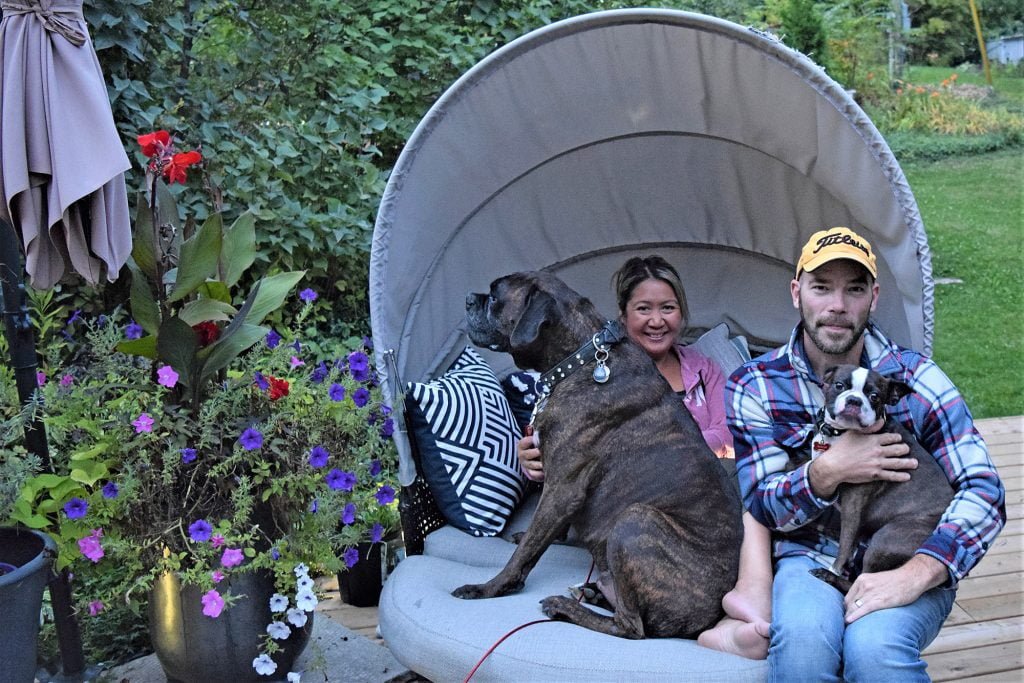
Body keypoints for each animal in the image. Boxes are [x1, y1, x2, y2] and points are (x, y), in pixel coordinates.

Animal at [452, 270, 741, 638]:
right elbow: (541, 534)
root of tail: (711, 615)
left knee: (631, 627)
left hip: (635, 520)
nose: (467, 299)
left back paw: (567, 607)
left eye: (494, 297)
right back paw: (592, 591)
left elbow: (525, 553)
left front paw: (488, 588)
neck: (583, 357)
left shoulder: (562, 489)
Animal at [806, 362, 958, 593]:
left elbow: (844, 544)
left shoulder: (853, 504)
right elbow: (850, 544)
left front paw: (834, 569)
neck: (842, 434)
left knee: (862, 581)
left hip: (886, 539)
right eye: (839, 385)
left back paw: (827, 576)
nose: (854, 400)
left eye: (875, 396)